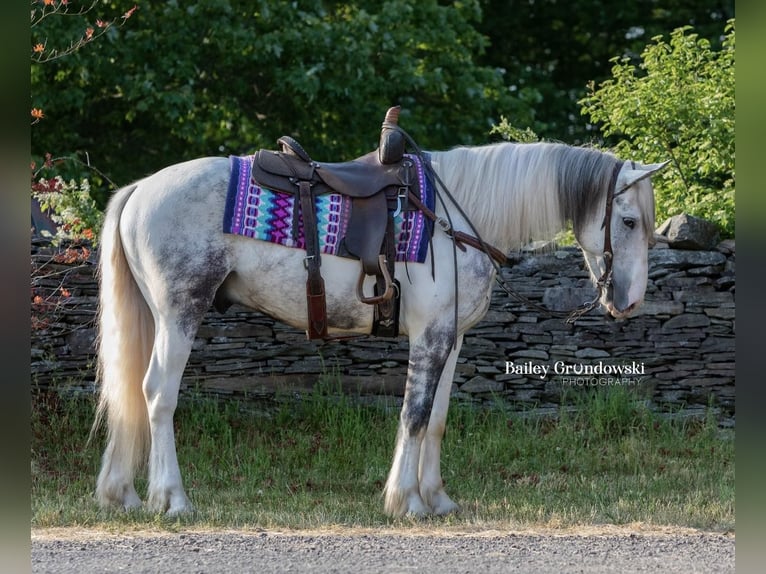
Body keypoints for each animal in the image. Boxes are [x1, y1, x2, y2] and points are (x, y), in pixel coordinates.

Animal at [88, 140, 664, 516]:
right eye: (629, 221)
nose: (630, 302)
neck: (454, 220)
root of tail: (140, 189)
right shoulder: (429, 336)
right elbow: (414, 415)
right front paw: (404, 500)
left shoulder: (451, 338)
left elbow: (437, 419)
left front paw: (437, 499)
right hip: (179, 312)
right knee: (157, 394)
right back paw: (172, 499)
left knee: (131, 392)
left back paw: (123, 494)